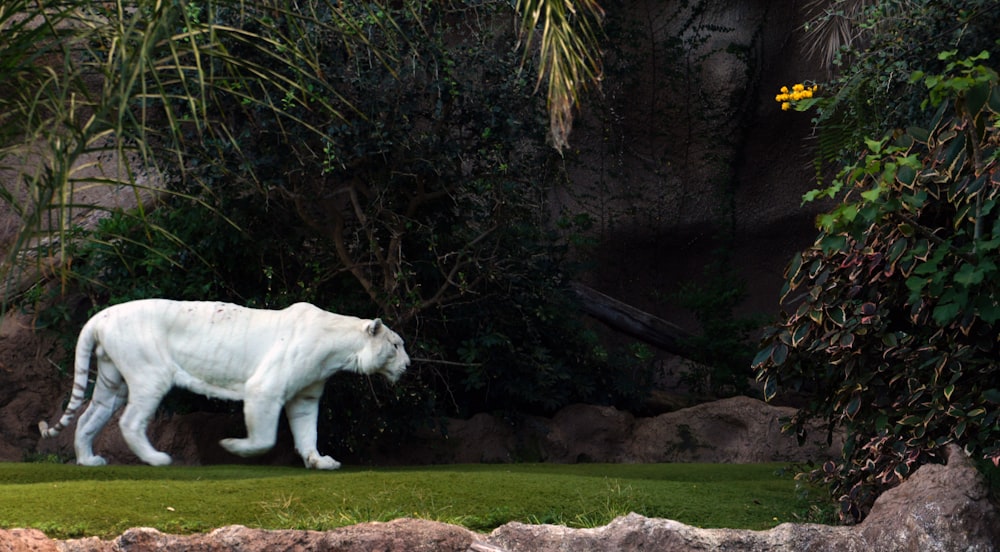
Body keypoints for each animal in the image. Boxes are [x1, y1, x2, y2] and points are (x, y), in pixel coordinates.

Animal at [37, 300, 408, 468]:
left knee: (89, 417)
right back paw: (158, 459)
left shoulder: (305, 397)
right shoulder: (265, 390)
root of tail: (101, 316)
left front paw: (319, 461)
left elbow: (307, 433)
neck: (340, 351)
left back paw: (88, 461)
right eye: (396, 345)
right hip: (148, 375)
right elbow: (264, 438)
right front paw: (231, 446)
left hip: (112, 383)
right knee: (129, 421)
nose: (408, 365)